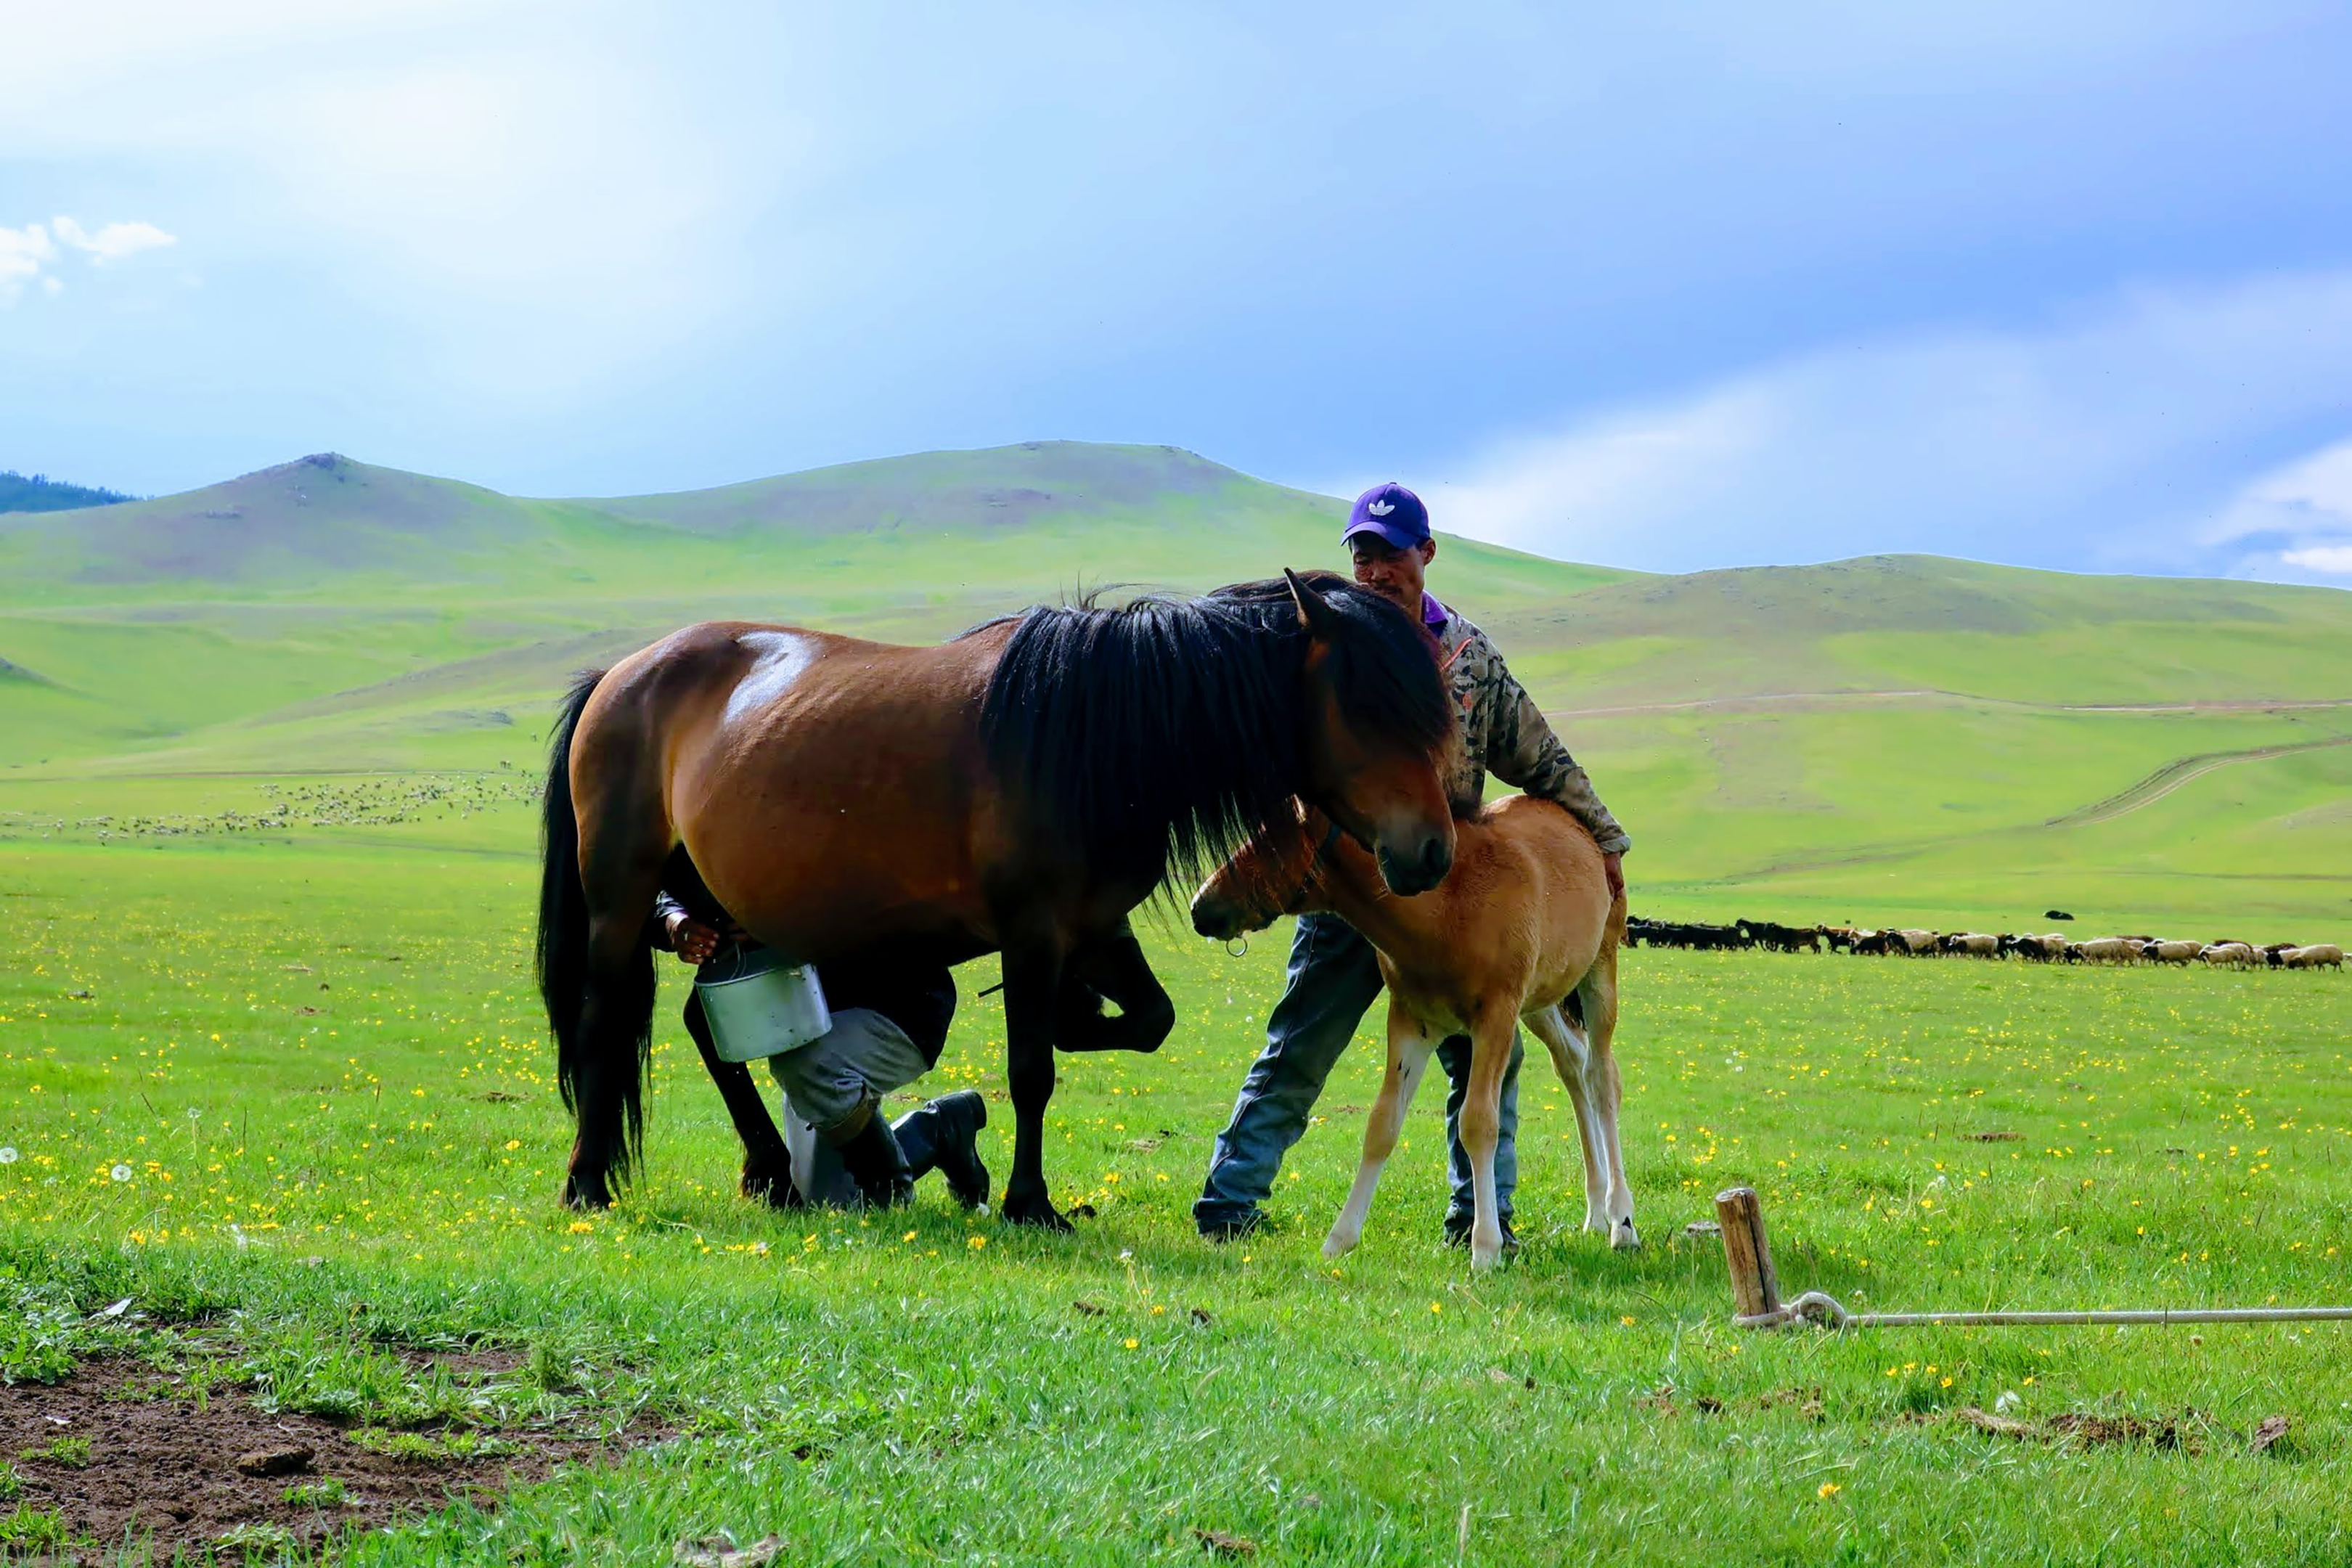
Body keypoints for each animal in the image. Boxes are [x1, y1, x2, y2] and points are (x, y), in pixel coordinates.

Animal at [536, 571, 1458, 1231]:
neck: (1096, 735)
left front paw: (1074, 1026)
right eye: (1369, 706)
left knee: (707, 1024)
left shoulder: (1095, 927)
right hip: (622, 898)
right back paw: (587, 1184)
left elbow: (1146, 1021)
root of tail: (621, 673)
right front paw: (1031, 1202)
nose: (1433, 851)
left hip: (721, 906)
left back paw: (782, 1173)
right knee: (603, 1018)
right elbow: (1032, 1070)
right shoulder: (1035, 931)